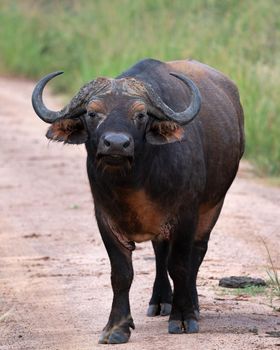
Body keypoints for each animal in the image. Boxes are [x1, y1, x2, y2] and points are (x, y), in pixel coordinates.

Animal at [31, 58, 244, 344]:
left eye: (141, 115)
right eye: (92, 113)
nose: (116, 144)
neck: (135, 183)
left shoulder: (186, 214)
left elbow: (180, 265)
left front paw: (183, 317)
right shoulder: (105, 218)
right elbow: (122, 273)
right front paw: (116, 327)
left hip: (213, 205)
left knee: (196, 254)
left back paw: (193, 305)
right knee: (160, 253)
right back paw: (160, 301)